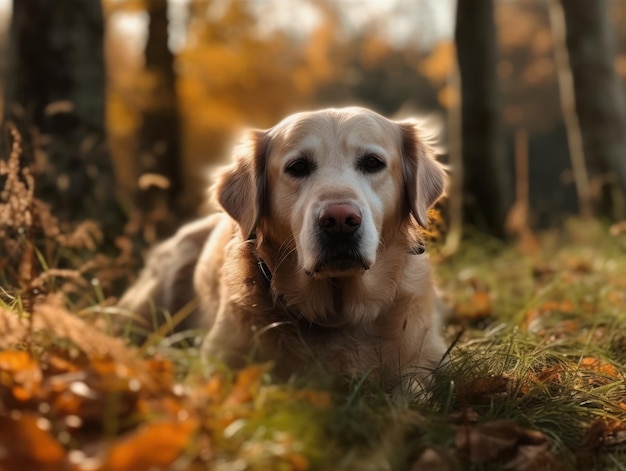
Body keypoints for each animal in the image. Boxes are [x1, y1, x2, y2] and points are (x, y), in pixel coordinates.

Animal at [117, 107, 446, 390]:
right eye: (297, 167)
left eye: (372, 162)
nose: (340, 220)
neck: (336, 314)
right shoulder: (218, 360)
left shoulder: (425, 359)